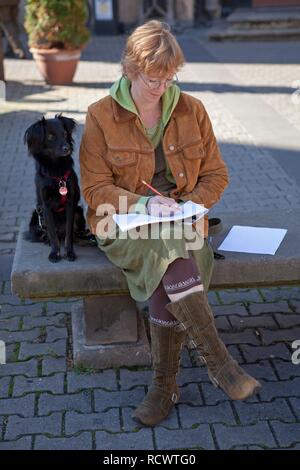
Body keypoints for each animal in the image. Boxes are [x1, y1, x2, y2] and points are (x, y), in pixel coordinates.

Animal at [24, 113, 86, 260]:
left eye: (65, 134)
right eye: (51, 137)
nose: (67, 148)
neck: (56, 168)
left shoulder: (70, 203)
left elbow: (69, 232)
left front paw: (69, 252)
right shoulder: (46, 206)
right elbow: (52, 233)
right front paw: (54, 253)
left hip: (79, 212)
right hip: (36, 218)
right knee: (49, 234)